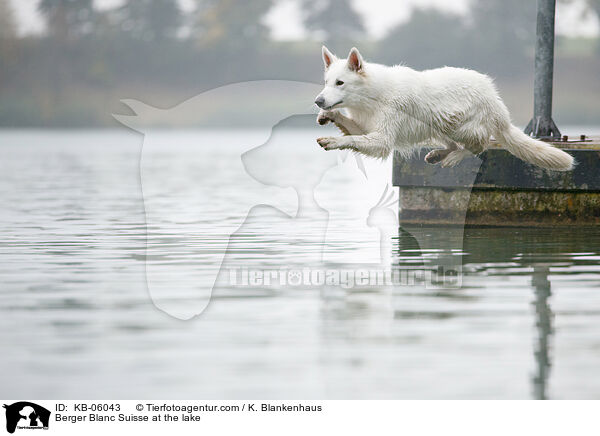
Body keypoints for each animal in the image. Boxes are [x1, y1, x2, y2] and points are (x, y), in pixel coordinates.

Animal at [314, 46, 572, 171]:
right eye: (326, 82)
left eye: (340, 83)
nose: (318, 101)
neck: (372, 95)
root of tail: (495, 101)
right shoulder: (366, 128)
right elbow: (351, 130)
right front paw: (329, 115)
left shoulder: (382, 140)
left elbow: (352, 140)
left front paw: (333, 141)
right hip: (436, 124)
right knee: (455, 144)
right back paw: (440, 154)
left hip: (459, 125)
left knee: (481, 145)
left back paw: (454, 157)